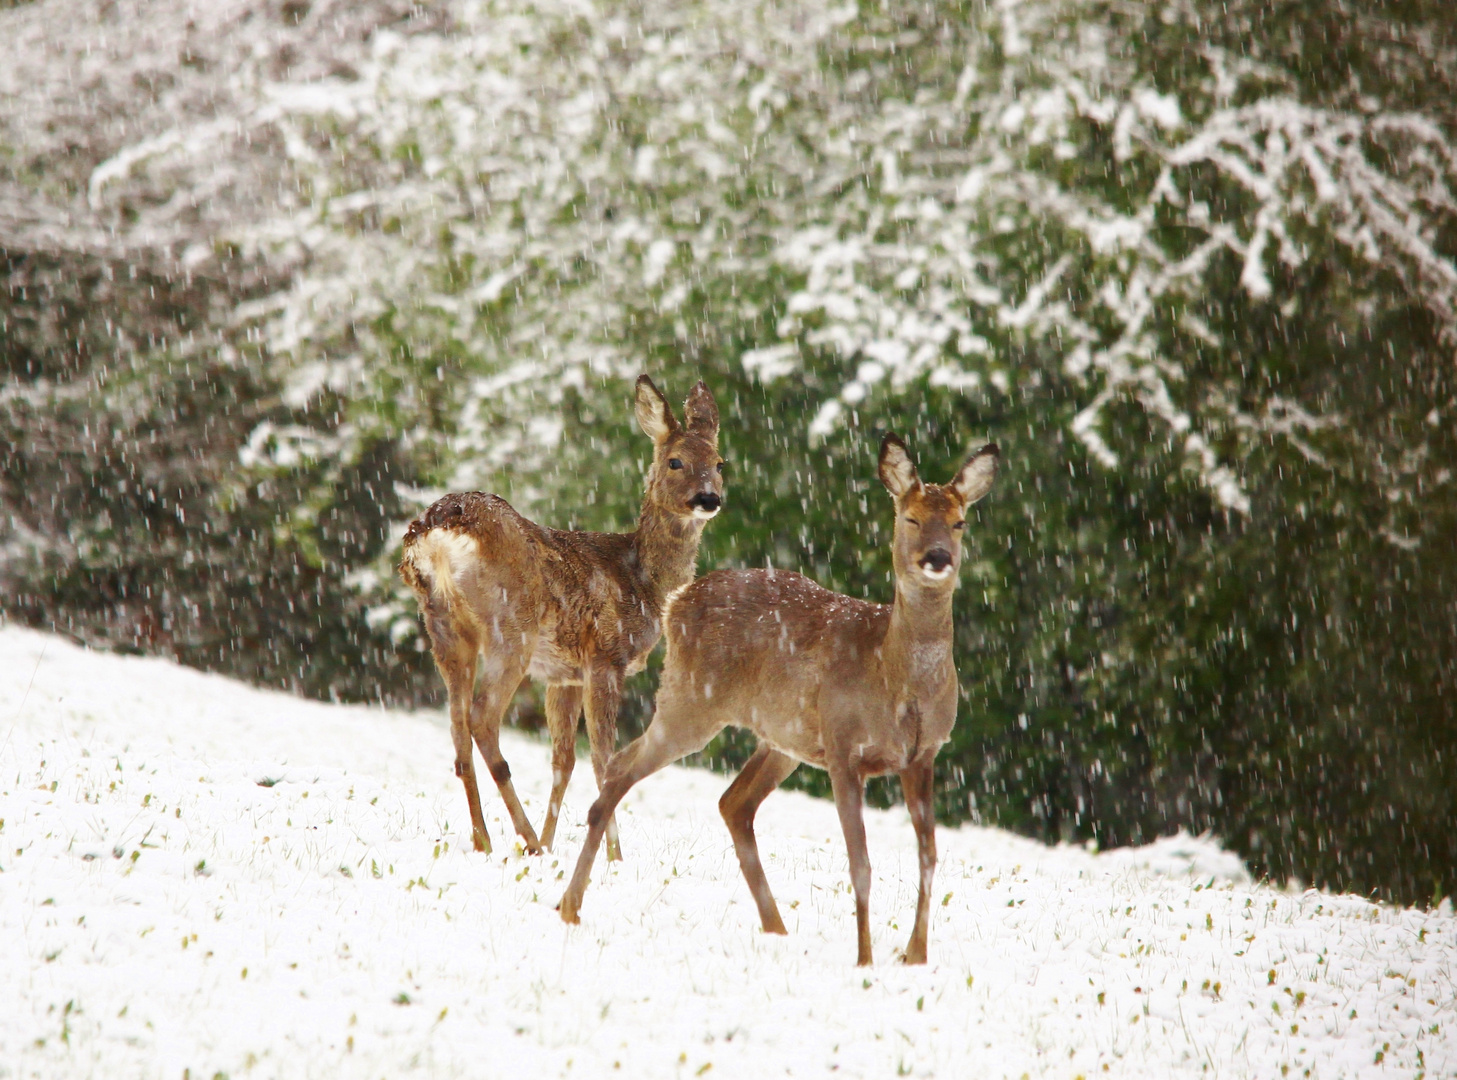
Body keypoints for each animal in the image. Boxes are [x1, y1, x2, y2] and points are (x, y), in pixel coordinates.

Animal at [399, 376, 722, 857]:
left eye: (720, 462)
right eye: (675, 461)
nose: (709, 498)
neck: (642, 581)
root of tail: (437, 528)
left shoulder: (564, 674)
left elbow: (563, 760)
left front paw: (555, 846)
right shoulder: (605, 656)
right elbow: (604, 758)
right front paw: (612, 858)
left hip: (445, 627)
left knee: (457, 729)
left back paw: (486, 841)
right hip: (510, 627)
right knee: (482, 719)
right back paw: (525, 838)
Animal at [550, 434, 996, 961]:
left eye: (959, 521)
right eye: (909, 517)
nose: (938, 557)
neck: (894, 677)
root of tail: (677, 600)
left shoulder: (923, 755)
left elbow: (928, 856)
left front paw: (914, 957)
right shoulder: (843, 745)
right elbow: (860, 863)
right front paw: (865, 961)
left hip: (782, 738)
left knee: (733, 802)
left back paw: (776, 928)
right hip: (692, 700)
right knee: (621, 766)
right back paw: (569, 907)